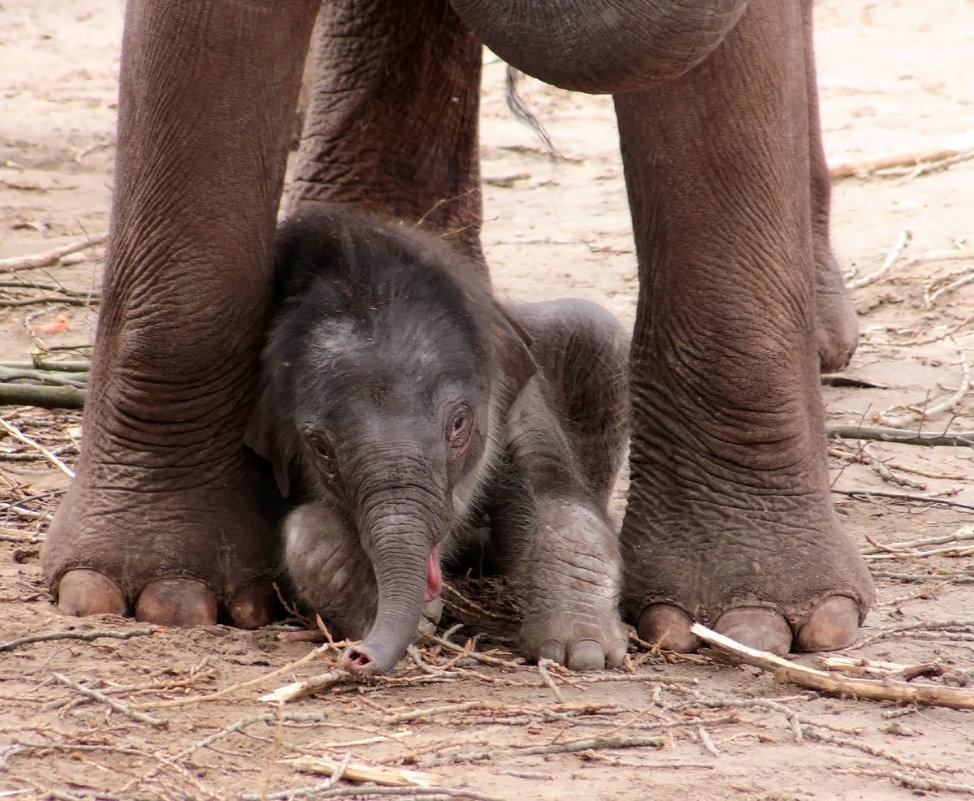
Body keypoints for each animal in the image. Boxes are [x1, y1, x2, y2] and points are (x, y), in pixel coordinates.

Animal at [250, 203, 632, 672]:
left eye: (459, 425)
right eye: (320, 448)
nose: (359, 657)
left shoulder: (515, 396)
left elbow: (553, 493)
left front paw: (583, 651)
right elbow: (303, 529)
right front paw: (397, 613)